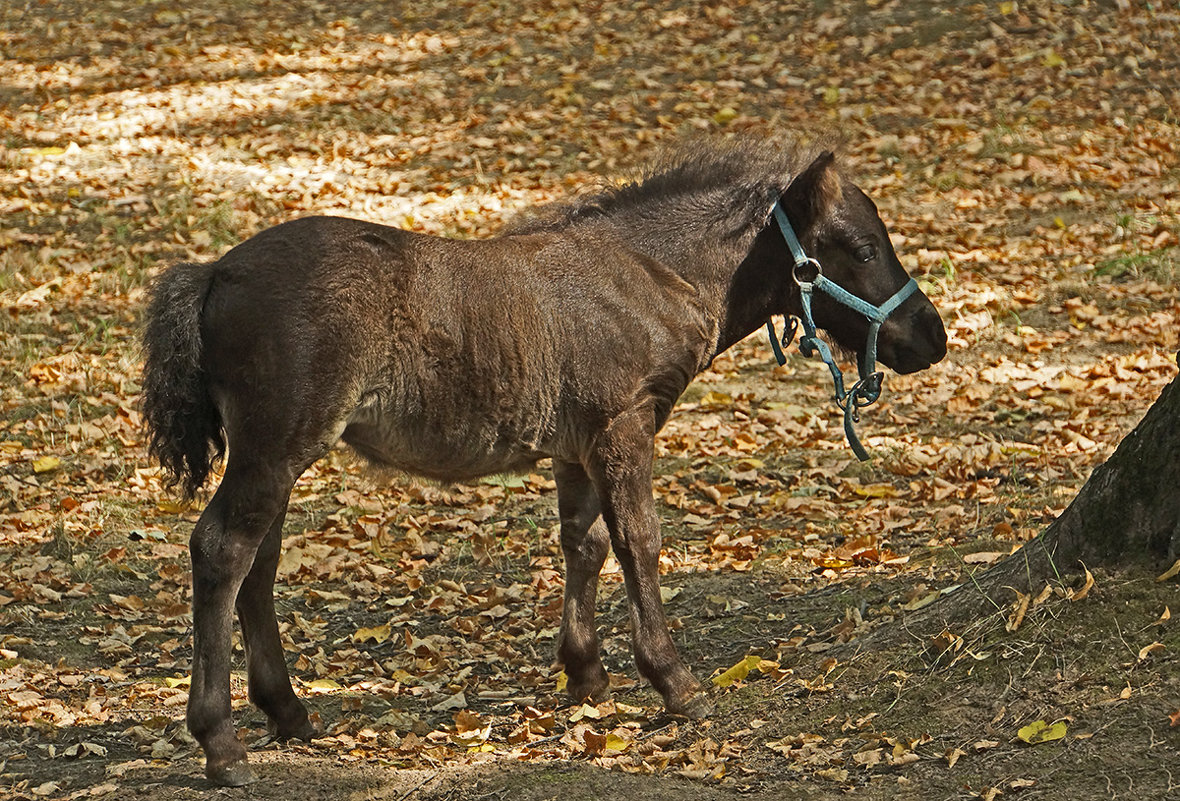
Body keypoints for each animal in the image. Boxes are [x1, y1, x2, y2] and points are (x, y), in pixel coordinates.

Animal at [140, 136, 948, 783]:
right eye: (863, 248)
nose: (931, 336)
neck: (648, 274)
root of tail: (213, 274)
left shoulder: (579, 445)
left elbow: (584, 543)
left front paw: (586, 674)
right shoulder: (625, 426)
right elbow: (639, 541)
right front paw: (675, 681)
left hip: (272, 454)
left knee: (259, 563)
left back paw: (288, 712)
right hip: (277, 447)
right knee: (222, 550)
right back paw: (222, 744)